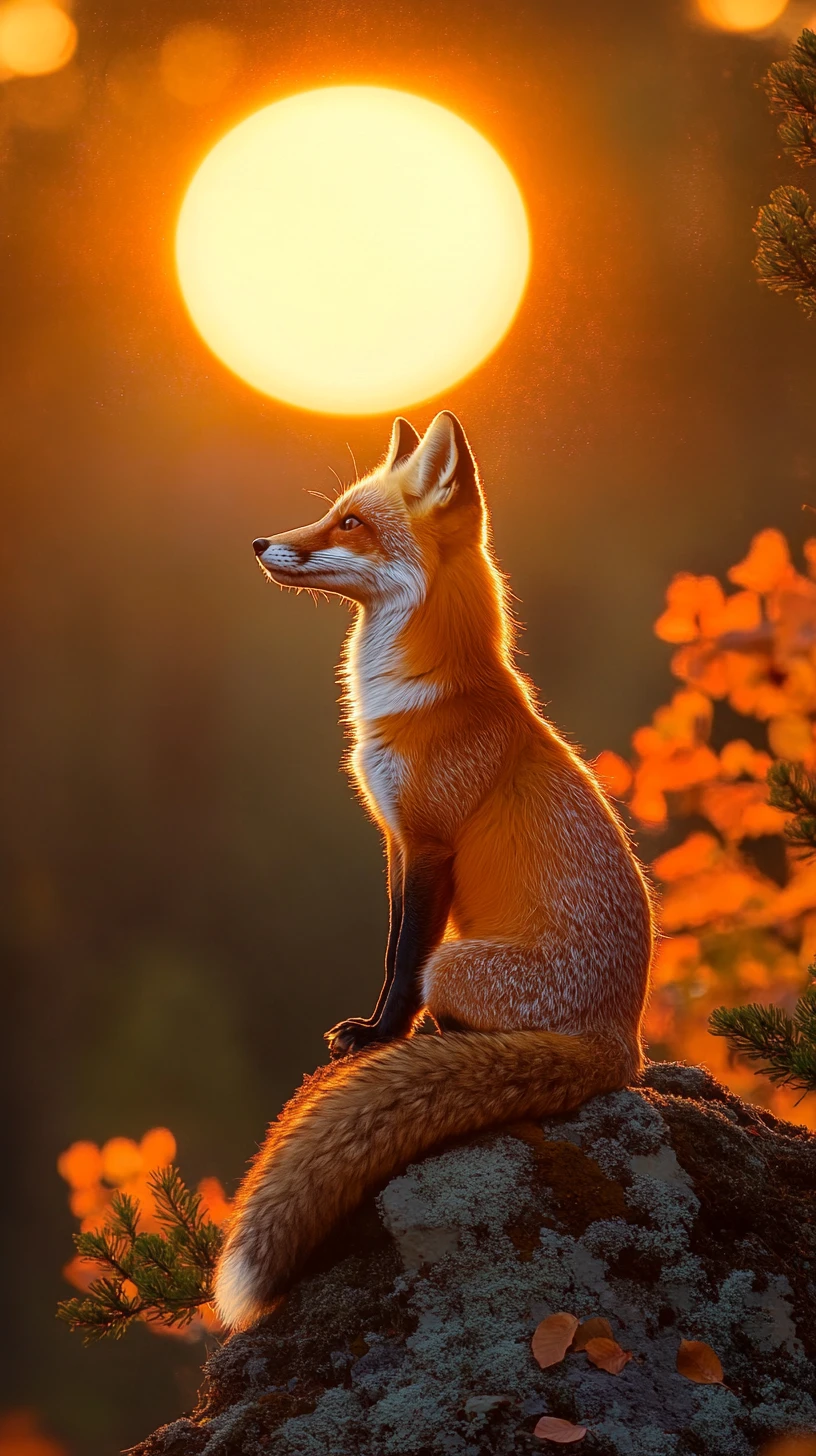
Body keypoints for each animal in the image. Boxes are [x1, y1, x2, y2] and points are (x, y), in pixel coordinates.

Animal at [214, 410, 654, 1330]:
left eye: (350, 523)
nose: (262, 542)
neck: (414, 700)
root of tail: (622, 1046)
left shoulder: (430, 847)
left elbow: (402, 960)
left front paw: (380, 1037)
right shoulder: (392, 840)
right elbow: (388, 946)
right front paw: (374, 1031)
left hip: (461, 964)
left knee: (453, 1003)